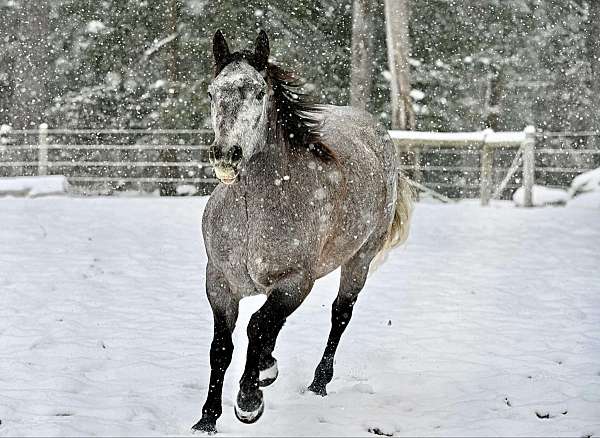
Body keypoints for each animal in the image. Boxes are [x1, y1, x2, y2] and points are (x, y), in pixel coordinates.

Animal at [192, 29, 412, 432]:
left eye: (258, 92)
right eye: (213, 92)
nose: (226, 155)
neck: (254, 213)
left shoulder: (296, 281)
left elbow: (258, 327)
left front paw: (249, 402)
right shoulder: (219, 282)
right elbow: (222, 347)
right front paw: (207, 420)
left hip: (359, 259)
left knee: (340, 315)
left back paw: (317, 383)